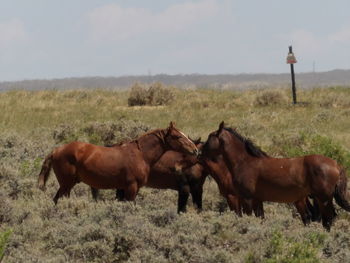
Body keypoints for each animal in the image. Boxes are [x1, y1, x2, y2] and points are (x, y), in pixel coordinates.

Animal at [37, 122, 200, 205]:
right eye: (177, 136)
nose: (195, 150)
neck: (140, 155)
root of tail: (56, 150)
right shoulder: (131, 188)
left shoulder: (125, 189)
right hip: (66, 184)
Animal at [200, 122, 350, 231]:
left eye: (210, 137)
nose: (199, 152)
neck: (245, 162)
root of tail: (336, 165)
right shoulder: (257, 200)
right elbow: (260, 218)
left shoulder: (246, 198)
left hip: (323, 198)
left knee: (328, 219)